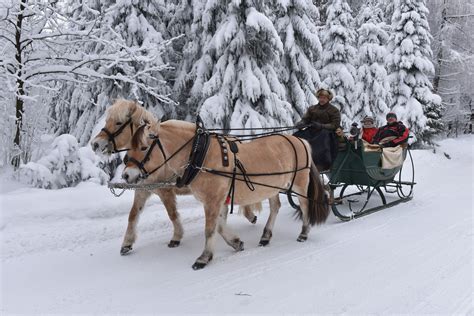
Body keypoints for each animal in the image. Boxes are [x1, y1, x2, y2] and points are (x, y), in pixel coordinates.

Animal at [89, 100, 260, 256]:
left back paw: (250, 216)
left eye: (118, 122)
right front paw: (127, 243)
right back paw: (249, 216)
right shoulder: (143, 189)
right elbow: (133, 214)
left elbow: (171, 213)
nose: (95, 144)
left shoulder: (165, 190)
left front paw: (176, 237)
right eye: (107, 120)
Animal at [122, 118, 330, 270]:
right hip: (272, 187)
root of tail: (300, 140)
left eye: (143, 147)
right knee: (275, 207)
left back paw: (303, 233)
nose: (126, 175)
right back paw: (265, 236)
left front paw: (204, 258)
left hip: (299, 183)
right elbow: (219, 227)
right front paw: (236, 243)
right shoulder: (219, 199)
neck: (201, 155)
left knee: (304, 206)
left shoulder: (213, 200)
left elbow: (209, 229)